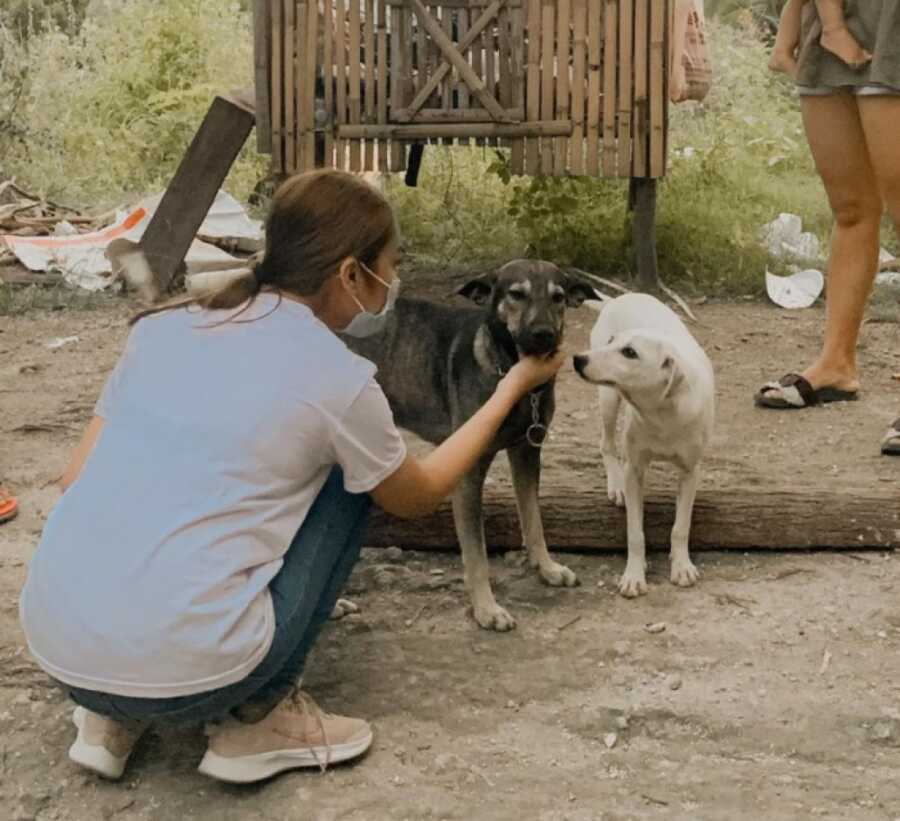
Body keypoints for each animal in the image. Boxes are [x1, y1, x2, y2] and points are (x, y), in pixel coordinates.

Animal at [572, 294, 712, 596]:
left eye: (630, 353)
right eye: (612, 341)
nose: (577, 359)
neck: (660, 413)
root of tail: (619, 297)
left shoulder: (690, 472)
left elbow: (681, 526)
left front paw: (681, 566)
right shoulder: (634, 470)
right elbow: (635, 532)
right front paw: (634, 575)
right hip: (608, 398)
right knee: (606, 444)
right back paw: (615, 485)